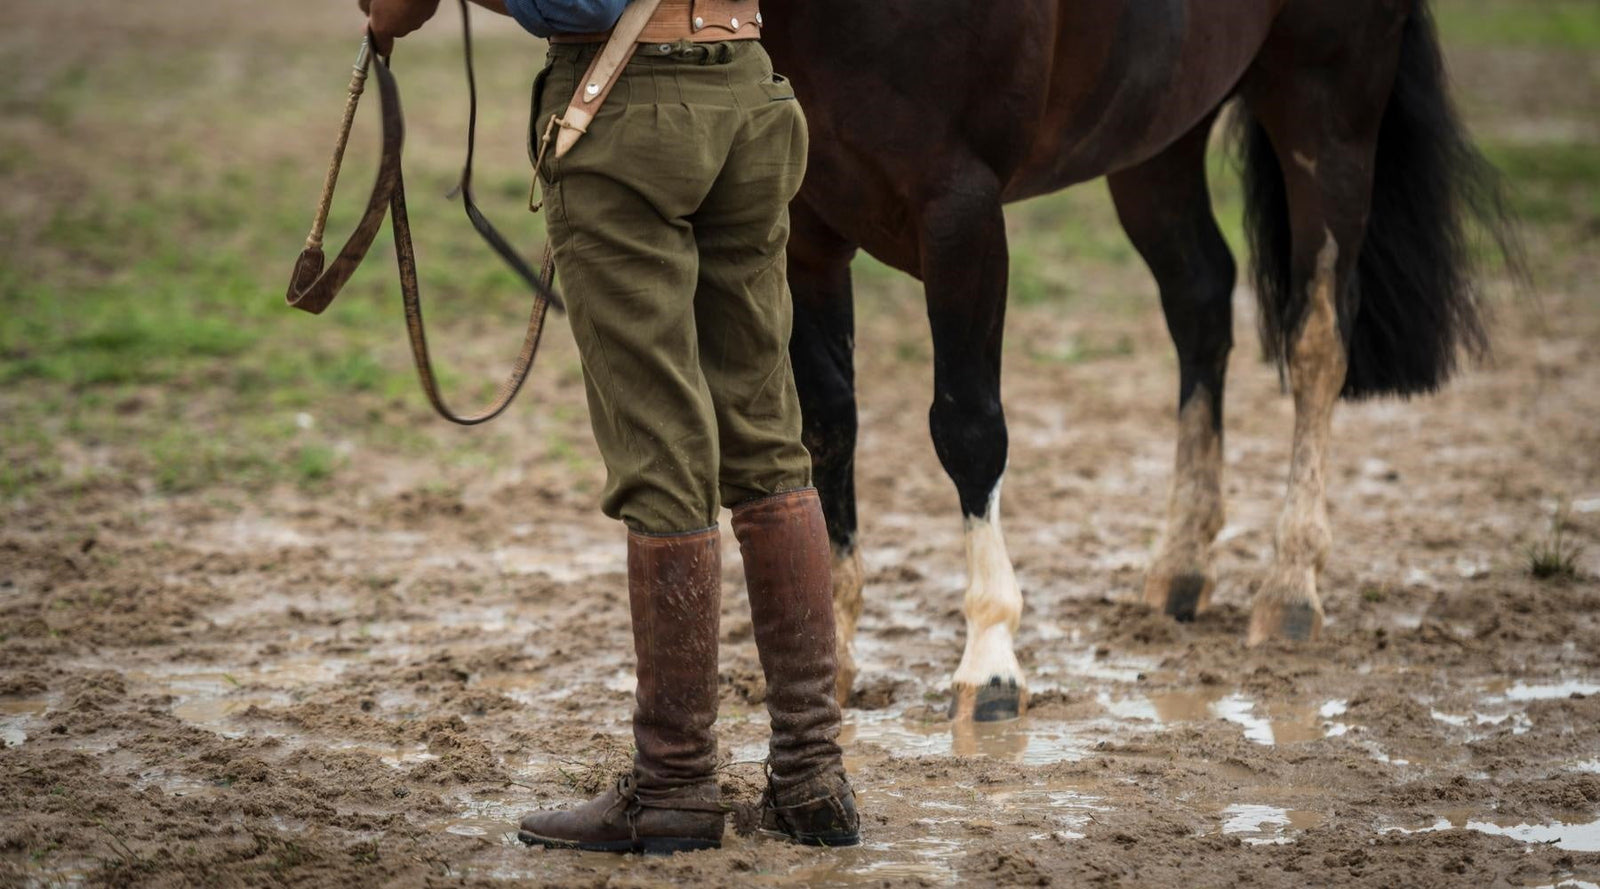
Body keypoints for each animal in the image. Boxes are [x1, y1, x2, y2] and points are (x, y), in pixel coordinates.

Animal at [760, 0, 1515, 721]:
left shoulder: (960, 211)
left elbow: (968, 429)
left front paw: (992, 661)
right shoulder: (806, 233)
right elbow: (827, 428)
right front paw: (833, 657)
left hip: (1327, 110)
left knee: (1318, 340)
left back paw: (1291, 589)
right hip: (1163, 136)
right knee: (1201, 301)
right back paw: (1181, 566)